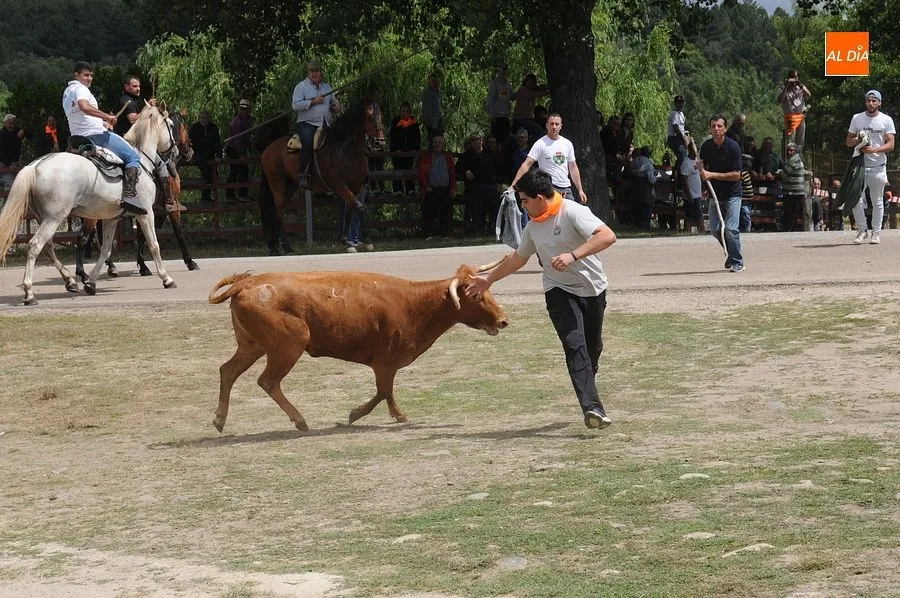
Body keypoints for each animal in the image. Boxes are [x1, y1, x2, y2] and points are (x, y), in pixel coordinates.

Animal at [0, 105, 178, 305]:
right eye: (171, 124)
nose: (176, 151)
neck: (141, 159)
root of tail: (36, 165)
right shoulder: (145, 214)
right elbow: (154, 245)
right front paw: (166, 278)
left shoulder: (111, 219)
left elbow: (106, 250)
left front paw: (91, 283)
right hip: (54, 218)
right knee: (35, 245)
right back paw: (29, 293)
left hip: (44, 218)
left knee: (48, 247)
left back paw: (70, 281)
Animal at [75, 104, 199, 280]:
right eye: (185, 127)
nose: (189, 151)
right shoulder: (169, 208)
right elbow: (177, 233)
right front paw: (189, 262)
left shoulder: (144, 210)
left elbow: (141, 236)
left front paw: (142, 265)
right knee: (85, 237)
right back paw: (85, 272)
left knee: (93, 239)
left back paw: (108, 268)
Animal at [258, 98, 385, 254]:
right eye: (369, 116)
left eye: (381, 116)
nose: (380, 142)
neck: (346, 149)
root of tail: (267, 150)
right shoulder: (339, 185)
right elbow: (359, 207)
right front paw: (362, 241)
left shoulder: (356, 185)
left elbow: (352, 209)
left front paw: (347, 241)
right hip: (277, 184)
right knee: (278, 212)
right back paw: (286, 248)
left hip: (291, 186)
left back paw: (278, 248)